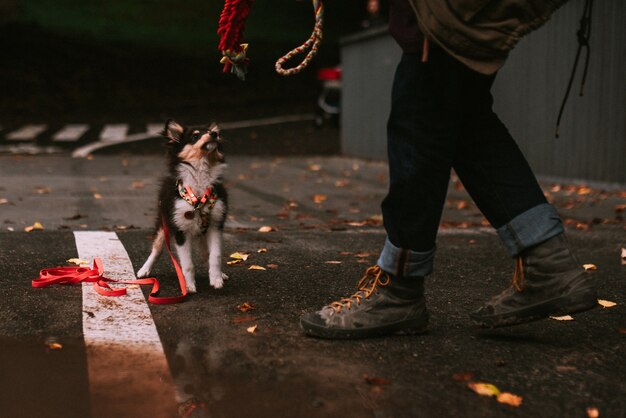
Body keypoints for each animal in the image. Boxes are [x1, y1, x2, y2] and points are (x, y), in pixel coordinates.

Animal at [135, 119, 228, 292]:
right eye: (195, 136)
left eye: (212, 133)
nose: (214, 134)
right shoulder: (180, 229)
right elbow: (188, 264)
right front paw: (189, 286)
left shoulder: (215, 225)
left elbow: (215, 256)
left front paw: (217, 279)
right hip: (163, 224)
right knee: (156, 249)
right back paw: (144, 270)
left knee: (206, 253)